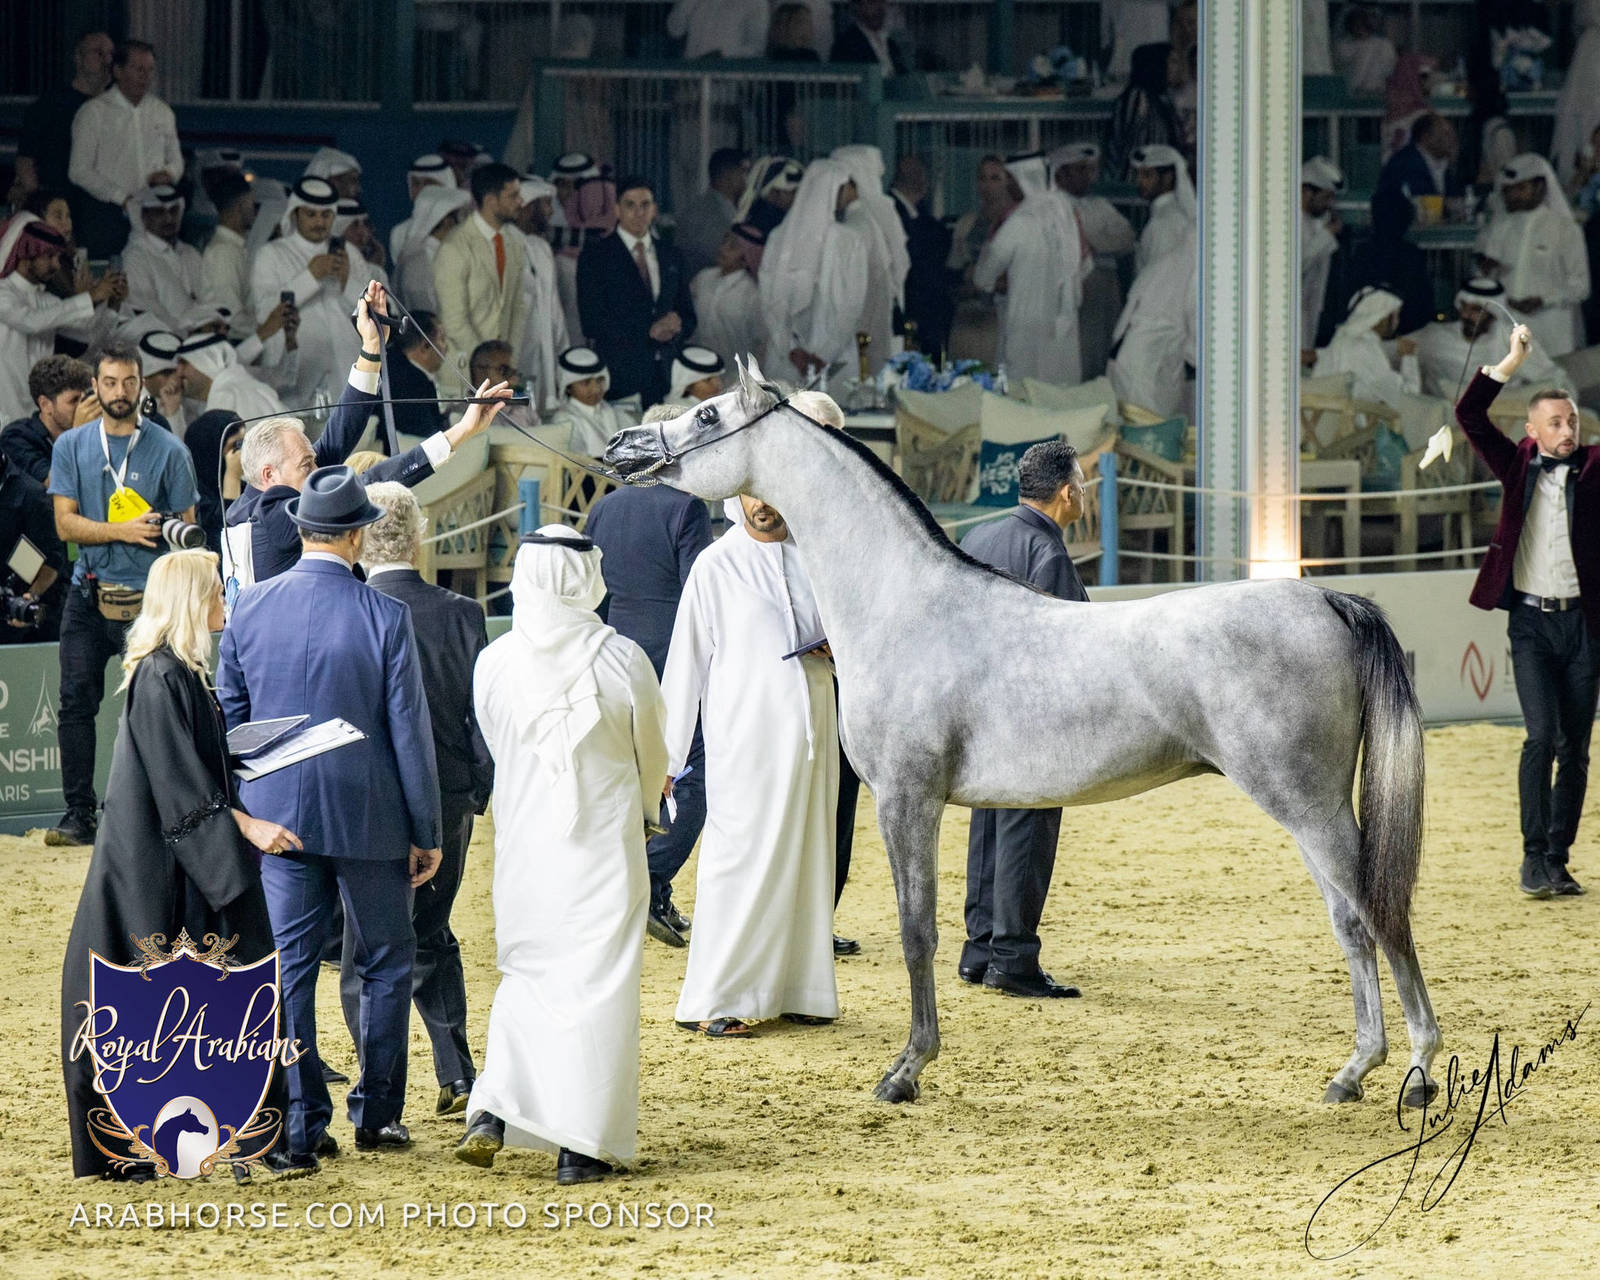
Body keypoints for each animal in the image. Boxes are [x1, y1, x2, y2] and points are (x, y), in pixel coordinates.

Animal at [603, 358, 1441, 1108]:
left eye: (708, 415)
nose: (621, 446)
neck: (903, 603)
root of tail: (1329, 600)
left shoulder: (906, 800)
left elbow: (917, 932)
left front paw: (906, 1071)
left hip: (1309, 806)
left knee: (1375, 916)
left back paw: (1416, 1073)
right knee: (1352, 923)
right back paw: (1355, 1074)